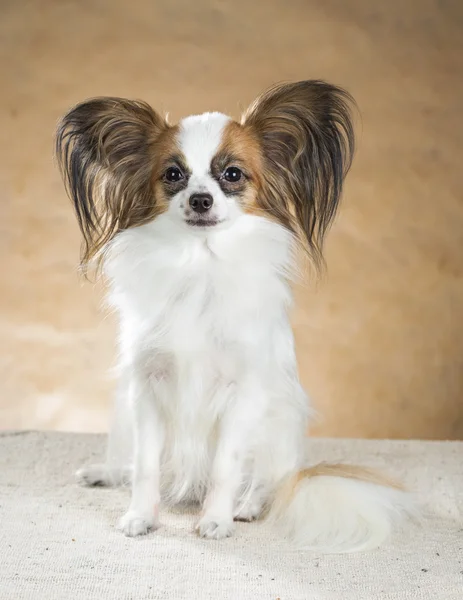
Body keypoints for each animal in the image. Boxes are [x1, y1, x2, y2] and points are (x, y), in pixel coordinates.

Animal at [54, 81, 414, 552]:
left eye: (232, 175)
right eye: (173, 175)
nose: (201, 199)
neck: (199, 262)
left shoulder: (241, 391)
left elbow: (226, 465)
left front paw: (216, 520)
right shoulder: (148, 385)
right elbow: (146, 464)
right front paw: (140, 516)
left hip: (279, 426)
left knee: (267, 480)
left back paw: (247, 505)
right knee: (132, 462)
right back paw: (109, 473)